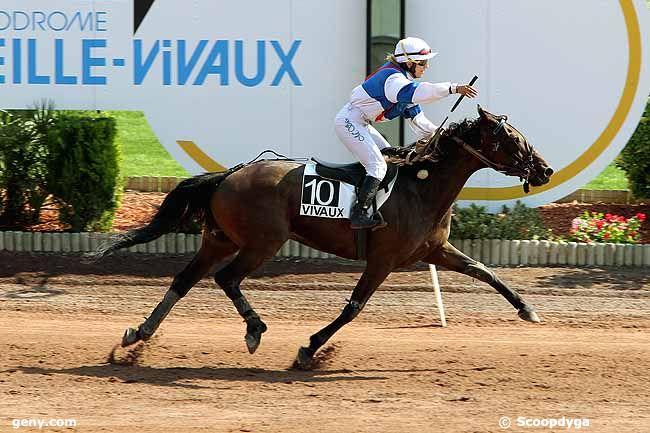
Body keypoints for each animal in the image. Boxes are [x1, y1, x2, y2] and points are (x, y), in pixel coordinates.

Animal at [91, 104, 552, 364]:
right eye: (512, 140)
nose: (544, 169)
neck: (422, 184)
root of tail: (229, 175)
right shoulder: (383, 260)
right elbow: (353, 308)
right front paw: (309, 349)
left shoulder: (434, 251)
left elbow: (485, 272)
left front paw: (527, 309)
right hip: (262, 242)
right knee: (226, 277)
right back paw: (254, 329)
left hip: (220, 239)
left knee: (185, 279)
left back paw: (138, 334)